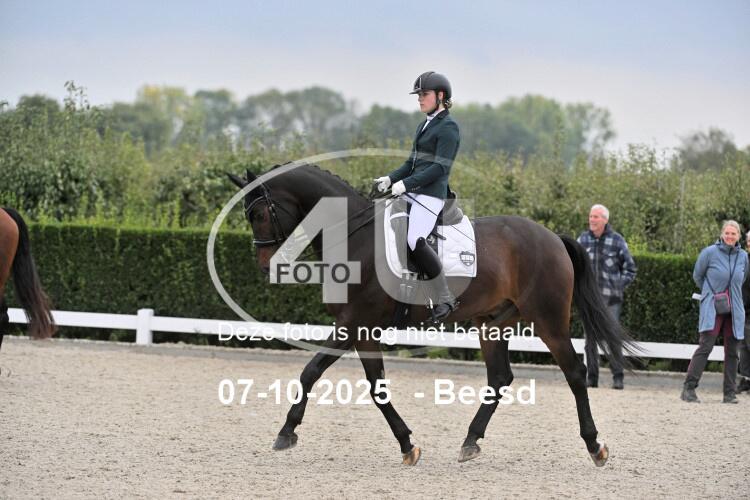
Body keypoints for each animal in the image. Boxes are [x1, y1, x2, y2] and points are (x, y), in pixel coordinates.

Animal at [227, 164, 637, 466]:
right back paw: (470, 441)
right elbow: (376, 388)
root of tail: (553, 238)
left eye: (259, 213)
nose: (265, 266)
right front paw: (407, 445)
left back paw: (595, 446)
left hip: (548, 320)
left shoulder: (352, 324)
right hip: (492, 324)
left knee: (575, 373)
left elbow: (311, 371)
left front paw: (286, 432)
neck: (354, 237)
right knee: (500, 377)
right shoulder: (364, 331)